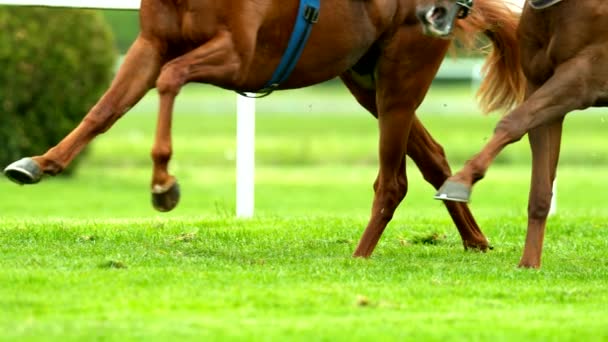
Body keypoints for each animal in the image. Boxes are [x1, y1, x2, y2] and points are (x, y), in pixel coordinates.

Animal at [2, 0, 520, 256]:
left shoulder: (241, 57)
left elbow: (170, 79)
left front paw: (164, 183)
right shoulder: (153, 41)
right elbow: (105, 109)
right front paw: (38, 163)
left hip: (400, 77)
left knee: (392, 181)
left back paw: (360, 254)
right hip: (365, 81)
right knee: (430, 156)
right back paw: (474, 239)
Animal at [418, 0, 608, 268]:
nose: (432, 14)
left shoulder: (584, 78)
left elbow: (513, 121)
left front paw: (461, 180)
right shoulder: (539, 85)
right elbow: (539, 188)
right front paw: (529, 263)